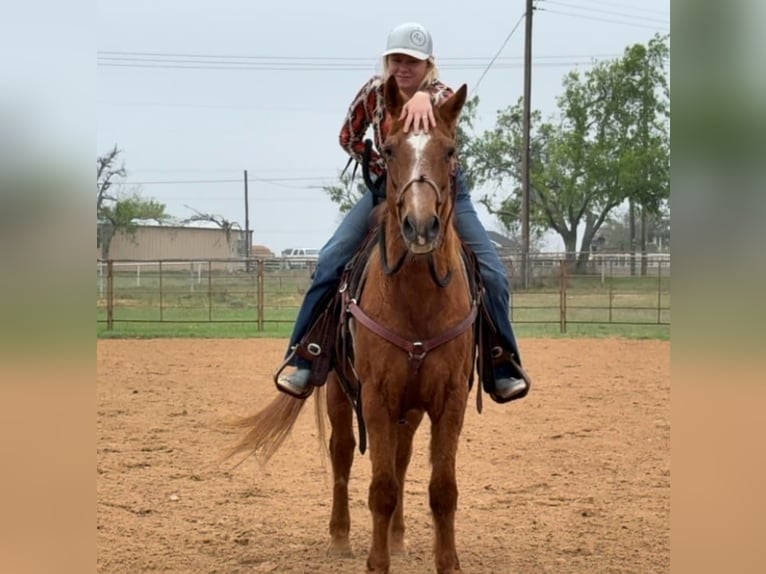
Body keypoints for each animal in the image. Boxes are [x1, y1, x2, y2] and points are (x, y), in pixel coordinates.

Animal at [230, 76, 474, 574]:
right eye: (392, 149)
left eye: (450, 150)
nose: (421, 226)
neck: (418, 302)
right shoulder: (376, 395)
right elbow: (379, 488)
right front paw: (375, 562)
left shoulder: (450, 397)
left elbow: (441, 489)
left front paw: (447, 562)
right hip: (339, 392)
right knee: (342, 455)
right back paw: (340, 537)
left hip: (410, 408)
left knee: (401, 460)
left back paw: (398, 538)